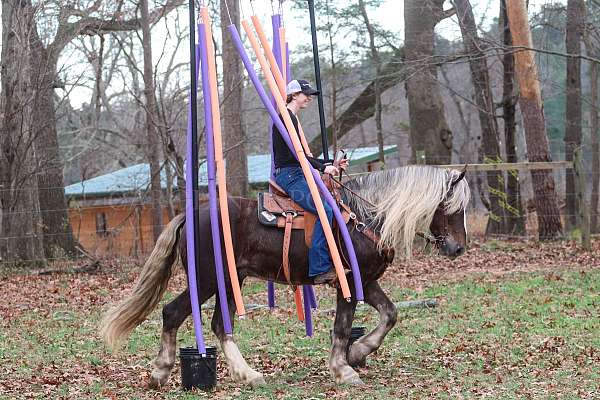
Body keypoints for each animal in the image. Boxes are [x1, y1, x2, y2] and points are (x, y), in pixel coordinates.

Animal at [101, 163, 472, 388]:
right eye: (451, 206)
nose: (458, 248)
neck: (364, 216)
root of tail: (191, 215)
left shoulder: (367, 281)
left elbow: (390, 315)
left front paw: (358, 352)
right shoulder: (350, 283)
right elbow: (342, 328)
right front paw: (344, 369)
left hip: (229, 281)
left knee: (220, 325)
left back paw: (249, 375)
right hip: (207, 280)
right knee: (173, 313)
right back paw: (161, 371)